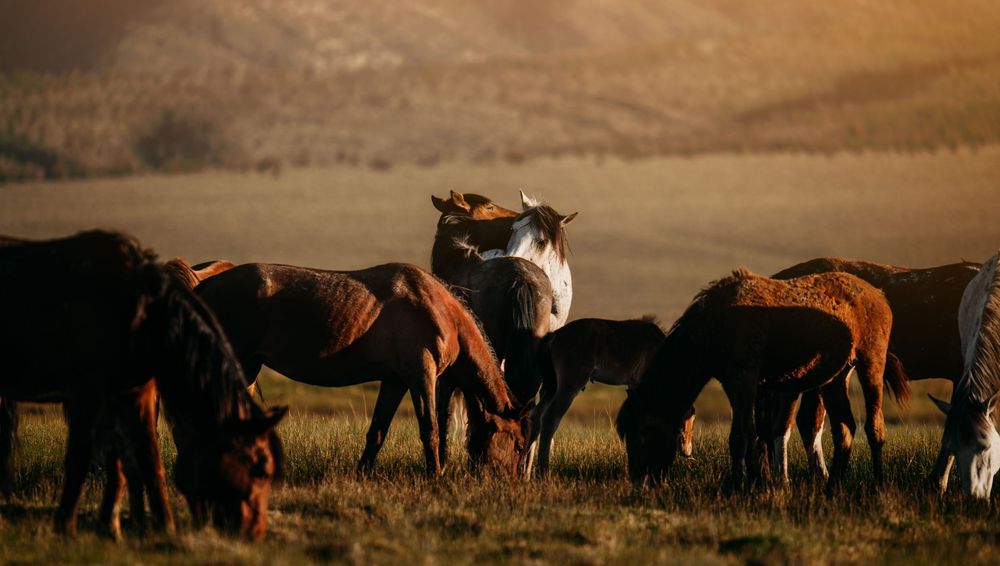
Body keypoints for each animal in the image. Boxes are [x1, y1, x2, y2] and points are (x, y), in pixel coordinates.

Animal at [0, 231, 286, 540]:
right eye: (260, 468)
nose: (254, 531)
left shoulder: (133, 393)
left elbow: (140, 455)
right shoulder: (96, 391)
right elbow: (103, 455)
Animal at [189, 260, 535, 477]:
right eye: (518, 444)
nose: (511, 482)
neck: (439, 309)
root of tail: (204, 286)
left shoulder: (394, 382)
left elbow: (377, 432)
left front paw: (363, 473)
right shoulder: (421, 378)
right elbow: (431, 430)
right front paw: (435, 476)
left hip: (247, 368)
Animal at [532, 316, 696, 475]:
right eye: (686, 419)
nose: (687, 452)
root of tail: (555, 335)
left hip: (550, 387)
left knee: (536, 415)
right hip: (569, 387)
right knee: (550, 419)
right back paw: (543, 471)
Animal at [616, 269, 908, 490]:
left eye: (643, 432)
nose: (640, 481)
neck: (715, 325)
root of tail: (879, 295)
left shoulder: (745, 377)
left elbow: (739, 437)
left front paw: (739, 487)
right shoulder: (733, 383)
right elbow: (749, 434)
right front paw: (756, 482)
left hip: (871, 363)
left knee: (874, 427)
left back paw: (878, 486)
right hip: (835, 378)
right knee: (844, 429)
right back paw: (832, 487)